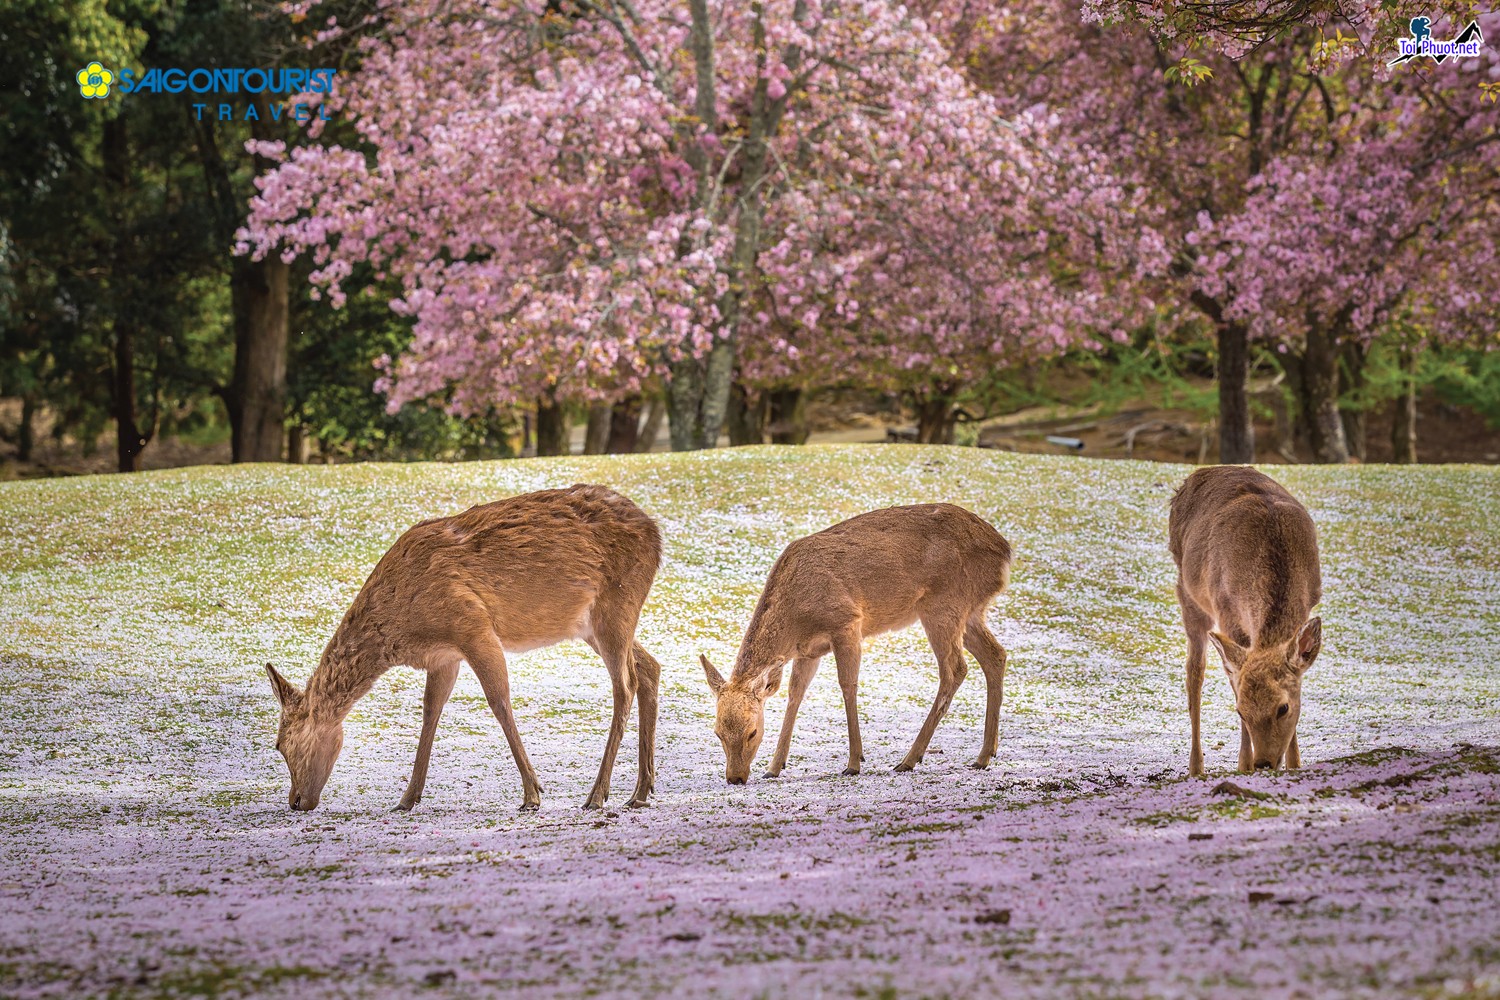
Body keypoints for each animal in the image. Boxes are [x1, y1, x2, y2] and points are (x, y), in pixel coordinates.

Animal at [267, 485, 666, 815]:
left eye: (281, 744)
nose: (296, 801)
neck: (402, 628)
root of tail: (656, 534)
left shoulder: (472, 625)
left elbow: (499, 701)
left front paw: (532, 794)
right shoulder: (443, 655)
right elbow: (431, 711)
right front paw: (406, 798)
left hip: (616, 605)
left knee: (625, 685)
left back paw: (597, 795)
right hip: (592, 625)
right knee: (650, 666)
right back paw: (640, 791)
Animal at [699, 503, 1008, 785]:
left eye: (752, 731)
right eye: (717, 732)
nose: (735, 777)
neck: (796, 620)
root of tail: (1005, 552)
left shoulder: (846, 623)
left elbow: (848, 685)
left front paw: (853, 762)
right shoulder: (808, 651)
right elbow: (795, 693)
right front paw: (774, 767)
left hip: (943, 605)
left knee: (955, 669)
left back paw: (909, 759)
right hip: (970, 611)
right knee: (996, 654)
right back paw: (984, 755)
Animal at [1170, 464, 1326, 779]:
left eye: (1283, 708)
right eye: (1241, 711)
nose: (1264, 762)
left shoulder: (1309, 601)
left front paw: (1295, 763)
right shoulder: (1227, 611)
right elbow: (1234, 677)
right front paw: (1243, 765)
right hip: (1189, 594)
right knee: (1195, 671)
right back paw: (1196, 767)